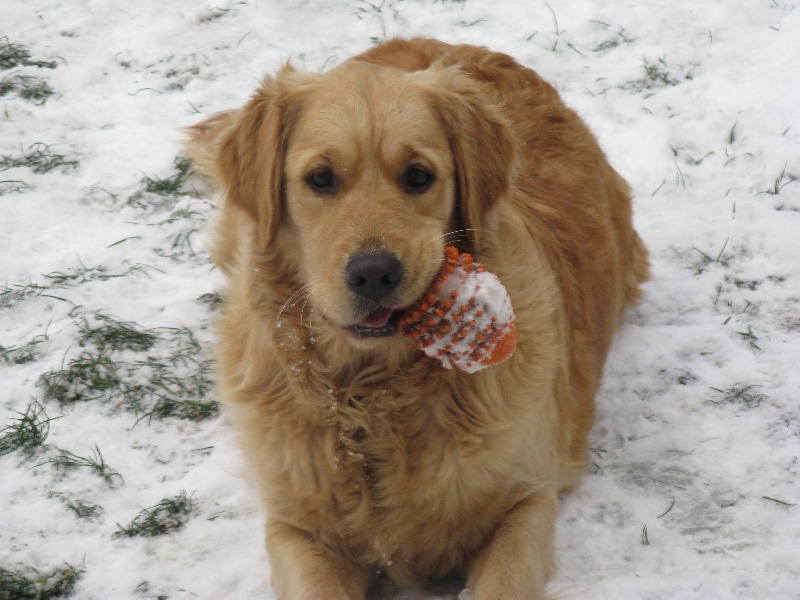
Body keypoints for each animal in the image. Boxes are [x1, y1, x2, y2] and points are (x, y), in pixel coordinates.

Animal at [184, 37, 648, 600]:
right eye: (320, 178)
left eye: (418, 176)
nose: (374, 273)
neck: (374, 396)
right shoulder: (297, 527)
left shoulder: (527, 497)